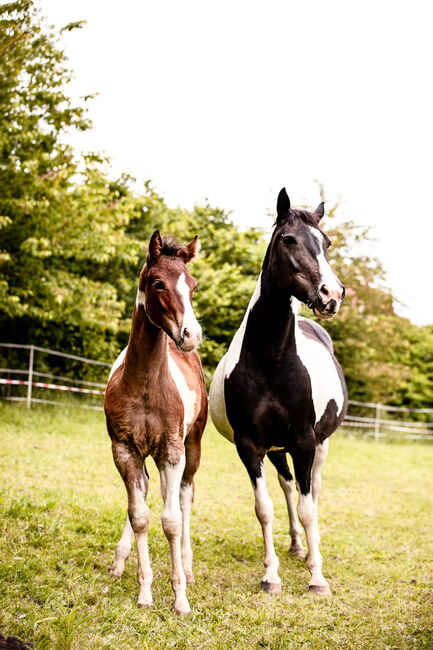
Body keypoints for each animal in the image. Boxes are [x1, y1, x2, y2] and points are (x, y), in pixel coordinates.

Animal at [104, 229, 207, 612]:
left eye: (192, 285)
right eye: (159, 283)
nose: (191, 334)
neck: (146, 384)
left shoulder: (172, 451)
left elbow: (172, 520)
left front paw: (180, 598)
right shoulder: (124, 450)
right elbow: (140, 515)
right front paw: (145, 591)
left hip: (192, 447)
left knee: (184, 495)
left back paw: (188, 568)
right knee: (151, 492)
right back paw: (121, 559)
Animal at [209, 186, 348, 592]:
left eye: (326, 242)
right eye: (289, 239)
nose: (332, 294)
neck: (271, 361)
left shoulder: (304, 441)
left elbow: (308, 508)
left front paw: (317, 577)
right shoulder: (250, 446)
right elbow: (265, 508)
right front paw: (271, 575)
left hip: (319, 445)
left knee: (311, 493)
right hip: (277, 450)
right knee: (287, 488)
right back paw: (297, 546)